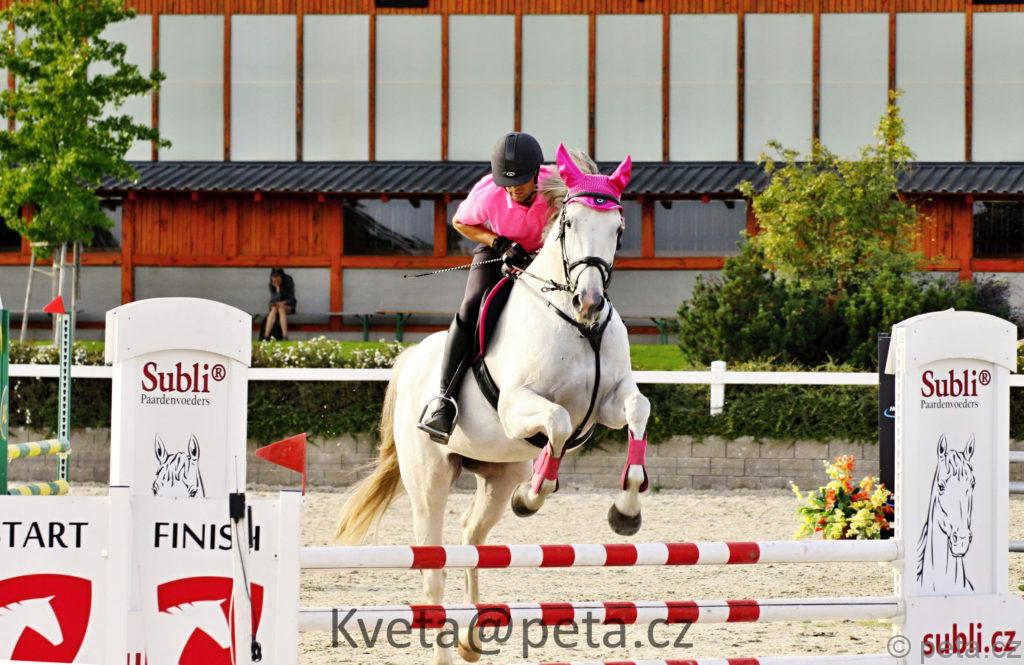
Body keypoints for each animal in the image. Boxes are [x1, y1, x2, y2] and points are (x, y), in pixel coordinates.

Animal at [335, 145, 651, 665]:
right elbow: (557, 422)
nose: (589, 302)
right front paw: (536, 495)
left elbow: (637, 411)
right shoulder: (519, 406)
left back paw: (472, 638)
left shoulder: (607, 402)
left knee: (470, 538)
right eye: (569, 224)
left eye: (619, 229)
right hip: (430, 479)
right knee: (433, 566)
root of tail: (410, 360)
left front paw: (626, 509)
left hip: (496, 475)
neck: (575, 327)